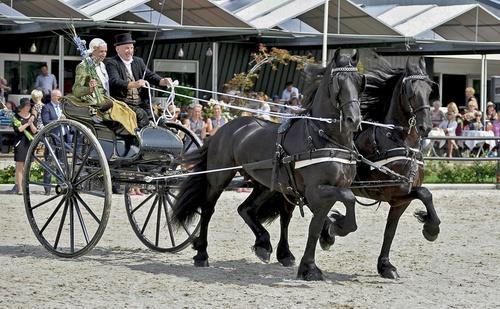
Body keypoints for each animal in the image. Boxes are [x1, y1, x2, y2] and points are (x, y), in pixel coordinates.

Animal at [171, 49, 364, 280]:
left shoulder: (329, 189)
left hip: (265, 184)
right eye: (338, 82)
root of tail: (225, 128)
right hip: (219, 178)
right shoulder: (316, 190)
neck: (324, 137)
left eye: (359, 81)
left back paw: (265, 245)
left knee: (246, 209)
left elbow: (319, 224)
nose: (354, 119)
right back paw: (202, 253)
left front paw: (312, 260)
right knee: (208, 209)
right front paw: (333, 231)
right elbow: (345, 202)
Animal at [254, 56, 442, 280]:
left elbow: (397, 223)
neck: (398, 141)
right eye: (410, 91)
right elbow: (423, 195)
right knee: (287, 214)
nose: (425, 126)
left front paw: (387, 264)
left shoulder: (399, 198)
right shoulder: (385, 190)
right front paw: (429, 228)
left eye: (430, 90)